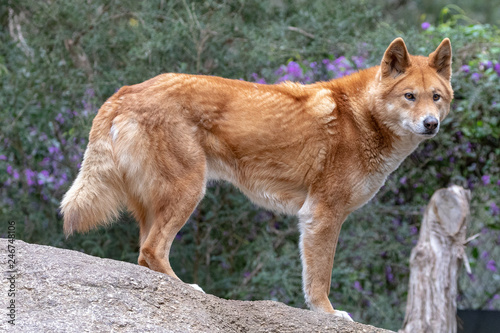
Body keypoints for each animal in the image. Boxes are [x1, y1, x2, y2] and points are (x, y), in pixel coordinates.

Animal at [61, 38, 454, 320]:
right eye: (409, 96)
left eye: (436, 97)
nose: (431, 124)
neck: (363, 119)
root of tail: (126, 91)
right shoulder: (323, 215)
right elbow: (320, 279)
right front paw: (329, 313)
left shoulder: (316, 217)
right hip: (188, 191)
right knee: (152, 250)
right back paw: (188, 288)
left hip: (157, 202)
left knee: (144, 255)